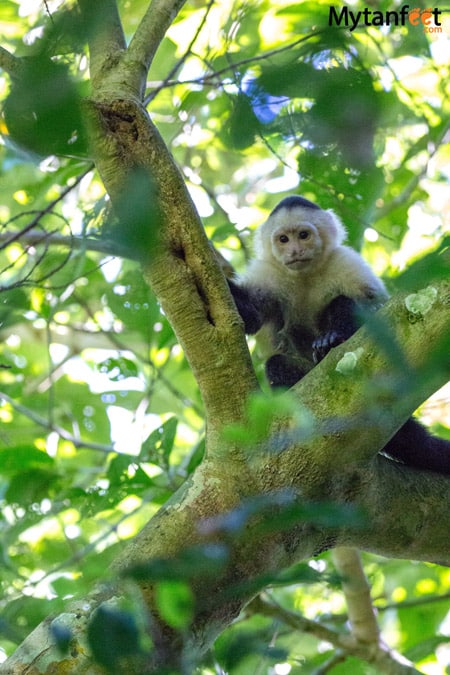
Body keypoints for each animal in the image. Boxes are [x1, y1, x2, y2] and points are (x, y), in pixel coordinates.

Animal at [229, 193, 450, 476]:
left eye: (303, 235)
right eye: (283, 239)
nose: (295, 251)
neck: (305, 276)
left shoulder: (346, 261)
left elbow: (374, 306)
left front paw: (336, 333)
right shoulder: (270, 273)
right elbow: (249, 314)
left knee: (342, 302)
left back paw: (331, 340)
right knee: (278, 365)